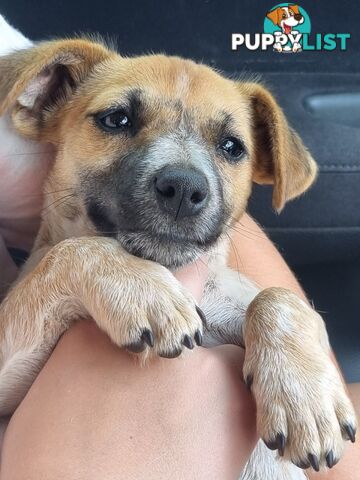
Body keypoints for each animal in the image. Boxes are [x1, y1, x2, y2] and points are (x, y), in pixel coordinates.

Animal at [0, 35, 358, 478]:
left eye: (231, 146)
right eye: (116, 119)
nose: (184, 189)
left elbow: (277, 297)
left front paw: (305, 398)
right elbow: (71, 249)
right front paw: (143, 291)